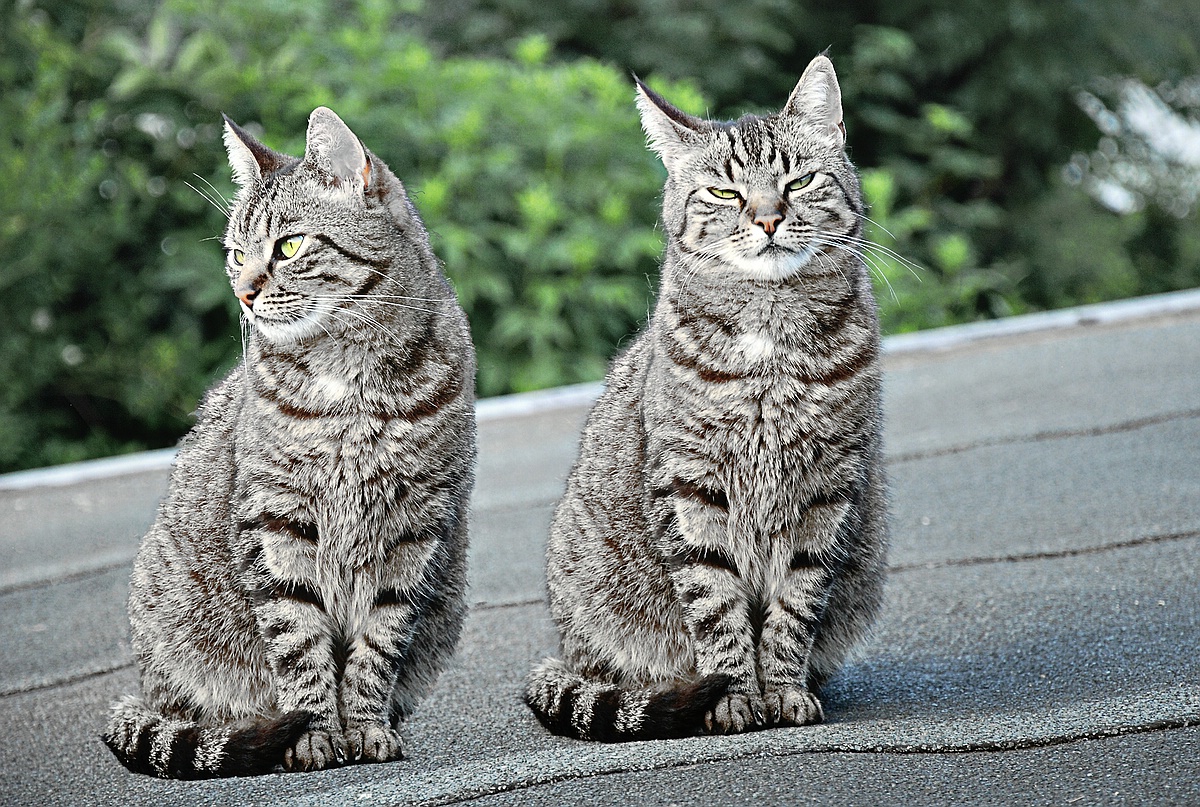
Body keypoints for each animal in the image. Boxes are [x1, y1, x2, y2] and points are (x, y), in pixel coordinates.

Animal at [102, 105, 477, 773]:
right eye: (236, 252)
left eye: (290, 245)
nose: (244, 291)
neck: (348, 374)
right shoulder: (275, 522)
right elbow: (298, 644)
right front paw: (315, 733)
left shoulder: (416, 526)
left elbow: (377, 644)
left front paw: (366, 726)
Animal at [528, 53, 892, 739]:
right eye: (725, 193)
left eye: (798, 181)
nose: (768, 218)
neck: (771, 330)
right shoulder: (689, 486)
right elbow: (716, 607)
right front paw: (733, 695)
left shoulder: (828, 487)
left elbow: (795, 605)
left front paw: (783, 689)